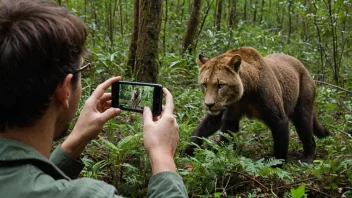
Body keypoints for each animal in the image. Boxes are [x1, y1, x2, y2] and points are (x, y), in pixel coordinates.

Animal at [182, 46, 330, 164]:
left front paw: (277, 165)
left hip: (302, 106)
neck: (244, 94)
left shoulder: (277, 116)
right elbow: (202, 131)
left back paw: (306, 159)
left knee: (307, 132)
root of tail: (304, 68)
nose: (209, 104)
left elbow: (280, 145)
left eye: (220, 85)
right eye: (204, 84)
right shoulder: (227, 113)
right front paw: (186, 152)